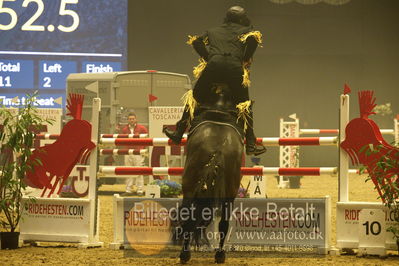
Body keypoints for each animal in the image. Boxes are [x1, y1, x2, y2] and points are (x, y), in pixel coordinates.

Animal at [177, 85, 244, 264]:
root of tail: (219, 147)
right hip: (229, 192)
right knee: (223, 223)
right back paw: (219, 254)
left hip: (190, 187)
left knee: (188, 218)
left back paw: (186, 254)